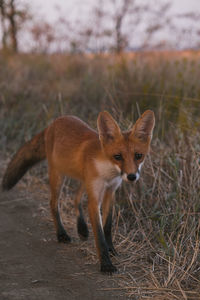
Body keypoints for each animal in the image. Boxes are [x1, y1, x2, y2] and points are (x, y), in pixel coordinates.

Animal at [1, 110, 155, 274]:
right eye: (118, 156)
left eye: (138, 156)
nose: (132, 176)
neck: (107, 172)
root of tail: (54, 123)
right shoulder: (95, 198)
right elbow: (99, 235)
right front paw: (106, 264)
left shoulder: (110, 192)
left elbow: (107, 227)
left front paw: (111, 250)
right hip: (58, 176)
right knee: (53, 203)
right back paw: (61, 234)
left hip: (82, 179)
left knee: (76, 198)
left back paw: (81, 228)